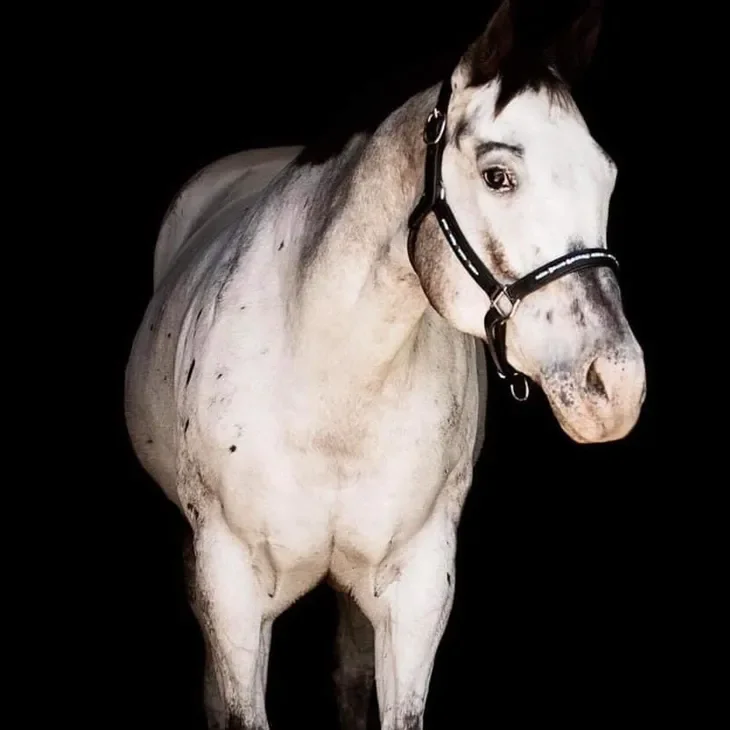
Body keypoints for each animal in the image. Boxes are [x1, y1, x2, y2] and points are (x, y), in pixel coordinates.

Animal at [124, 1, 646, 727]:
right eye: (497, 175)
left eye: (608, 177)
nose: (617, 384)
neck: (330, 384)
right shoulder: (230, 584)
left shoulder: (417, 586)